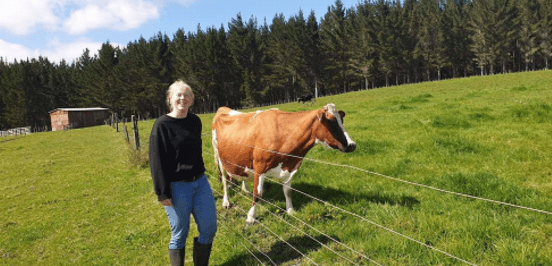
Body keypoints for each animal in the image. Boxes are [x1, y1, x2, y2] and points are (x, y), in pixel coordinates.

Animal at [211, 103, 358, 223]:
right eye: (332, 122)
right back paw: (226, 201)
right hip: (219, 157)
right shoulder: (259, 167)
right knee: (225, 181)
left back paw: (244, 189)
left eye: (341, 120)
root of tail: (223, 109)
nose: (352, 145)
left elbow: (288, 191)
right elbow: (257, 194)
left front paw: (290, 210)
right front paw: (251, 217)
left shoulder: (290, 167)